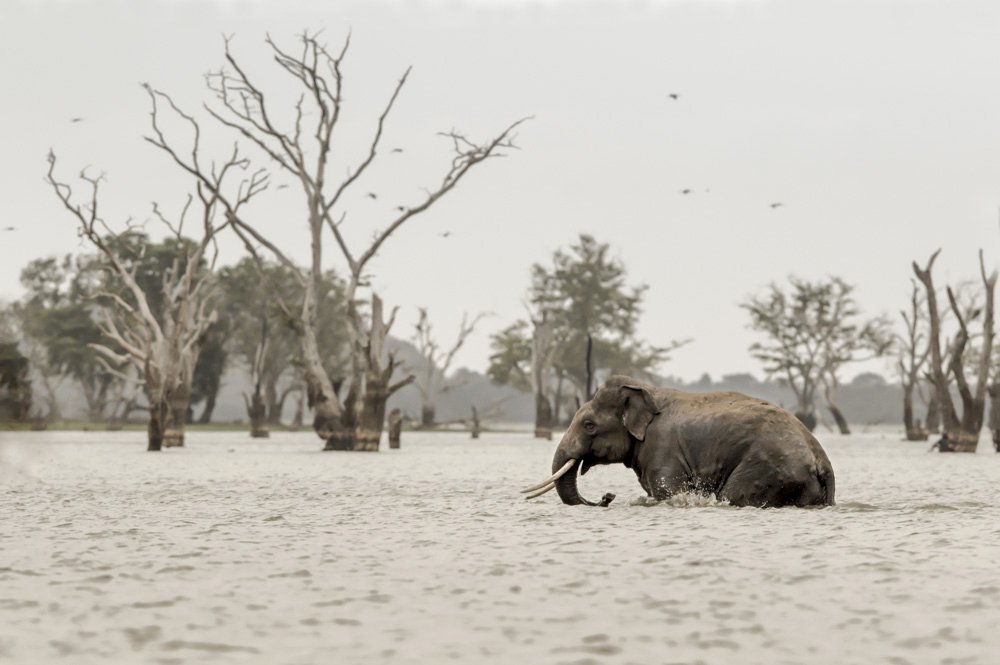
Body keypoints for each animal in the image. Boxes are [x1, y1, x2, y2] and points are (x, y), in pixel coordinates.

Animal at [522, 376, 835, 508]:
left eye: (589, 425)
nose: (607, 497)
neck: (647, 390)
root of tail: (823, 463)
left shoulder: (662, 451)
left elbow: (667, 492)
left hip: (767, 470)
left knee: (735, 494)